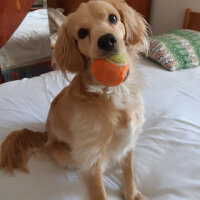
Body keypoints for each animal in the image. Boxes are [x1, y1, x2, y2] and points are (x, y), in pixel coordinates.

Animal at [0, 0, 148, 199]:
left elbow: (129, 172)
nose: (107, 40)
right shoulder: (90, 156)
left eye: (113, 18)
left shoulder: (129, 141)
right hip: (67, 153)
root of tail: (45, 135)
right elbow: (98, 191)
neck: (112, 92)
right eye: (82, 33)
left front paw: (131, 194)